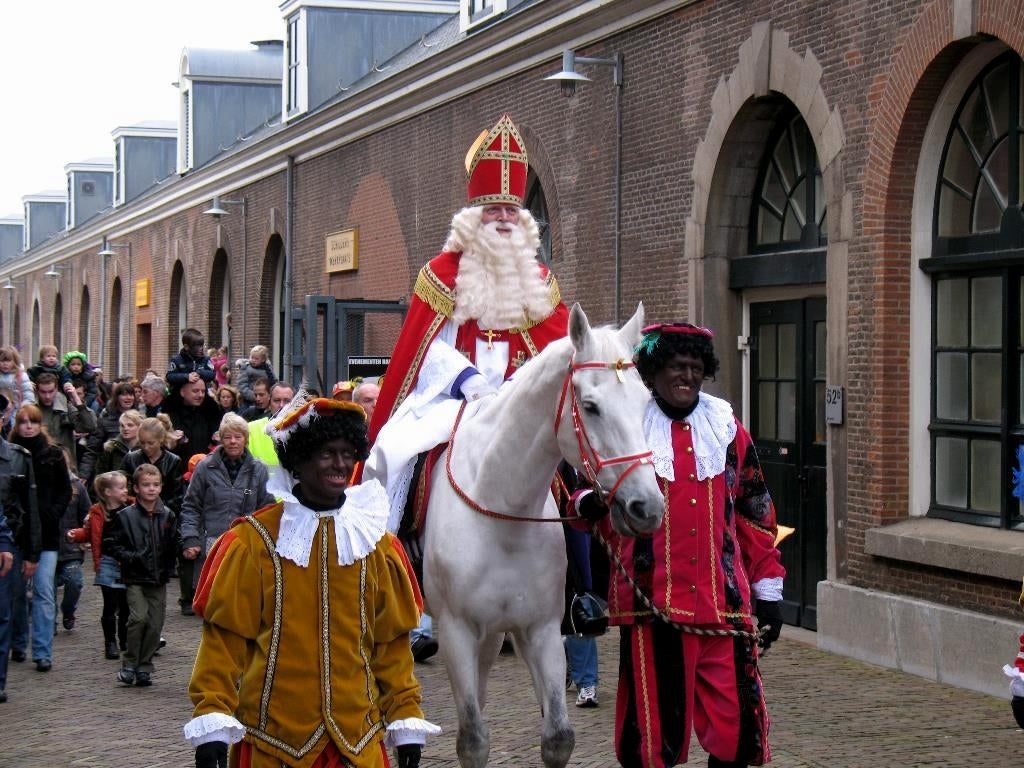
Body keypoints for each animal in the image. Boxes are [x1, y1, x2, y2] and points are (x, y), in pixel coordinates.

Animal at [423, 305, 663, 768]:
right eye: (590, 406)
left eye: (645, 400)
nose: (648, 508)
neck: (502, 511)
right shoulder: (455, 632)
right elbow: (472, 741)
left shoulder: (541, 630)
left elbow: (557, 737)